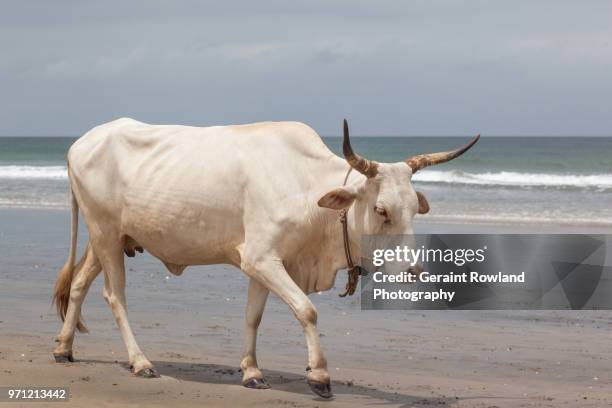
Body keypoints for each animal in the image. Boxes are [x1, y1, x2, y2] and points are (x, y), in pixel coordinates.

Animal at [53, 116, 478, 396]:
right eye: (381, 210)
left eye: (415, 209)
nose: (414, 269)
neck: (307, 191)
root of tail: (79, 144)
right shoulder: (261, 259)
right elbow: (307, 310)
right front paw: (319, 375)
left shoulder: (263, 265)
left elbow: (252, 317)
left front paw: (251, 371)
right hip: (106, 234)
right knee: (114, 296)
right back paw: (141, 362)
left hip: (108, 237)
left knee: (79, 283)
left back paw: (63, 348)